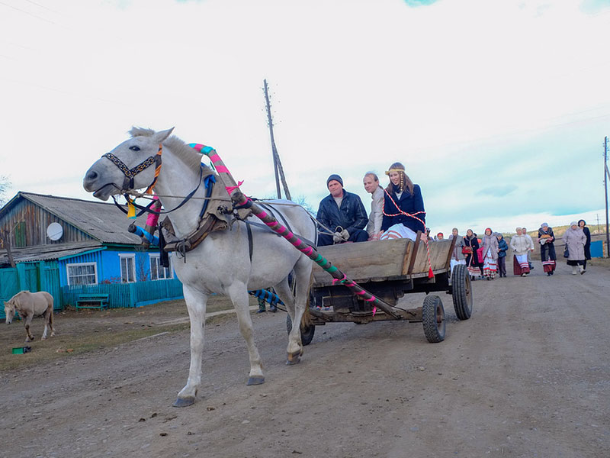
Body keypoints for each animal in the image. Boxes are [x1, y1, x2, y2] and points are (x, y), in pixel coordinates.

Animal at [82, 127, 316, 406]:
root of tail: (301, 209)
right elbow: (195, 340)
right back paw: (295, 346)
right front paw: (190, 388)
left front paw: (256, 371)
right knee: (290, 306)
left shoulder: (237, 287)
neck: (204, 222)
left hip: (304, 265)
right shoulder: (192, 292)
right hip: (279, 277)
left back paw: (294, 344)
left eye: (135, 148)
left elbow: (245, 328)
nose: (90, 176)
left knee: (300, 304)